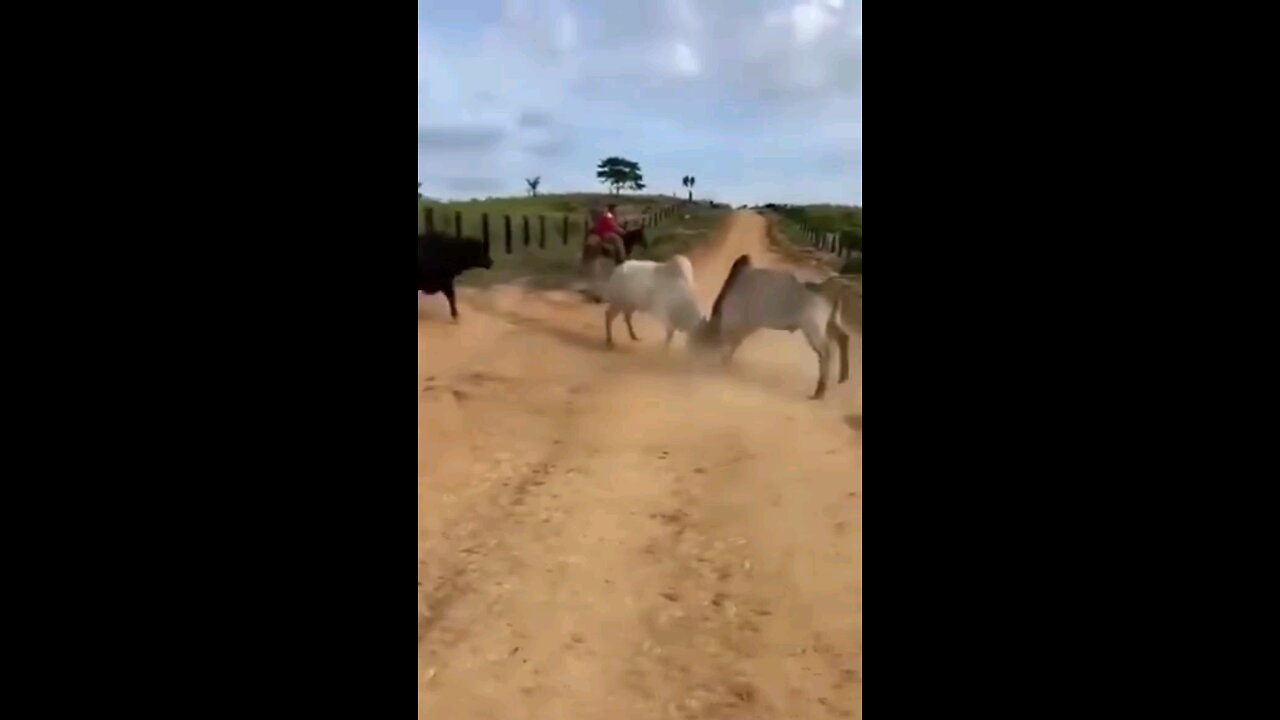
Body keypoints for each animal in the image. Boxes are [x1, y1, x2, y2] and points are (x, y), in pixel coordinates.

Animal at [691, 252, 860, 397]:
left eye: (700, 336)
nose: (693, 354)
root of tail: (827, 286)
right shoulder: (746, 326)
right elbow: (734, 345)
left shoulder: (734, 322)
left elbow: (729, 345)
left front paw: (724, 366)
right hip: (832, 321)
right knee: (843, 338)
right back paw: (843, 376)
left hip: (813, 328)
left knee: (826, 352)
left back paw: (819, 391)